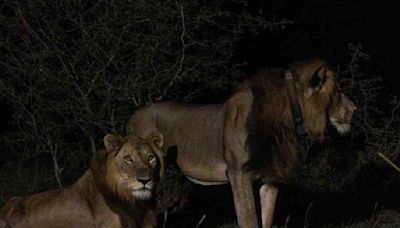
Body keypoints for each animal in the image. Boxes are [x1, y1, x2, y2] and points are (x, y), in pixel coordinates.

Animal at [126, 59, 356, 228]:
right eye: (338, 91)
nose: (354, 108)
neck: (286, 121)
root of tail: (133, 117)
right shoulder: (238, 175)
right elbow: (249, 220)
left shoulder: (270, 178)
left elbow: (266, 220)